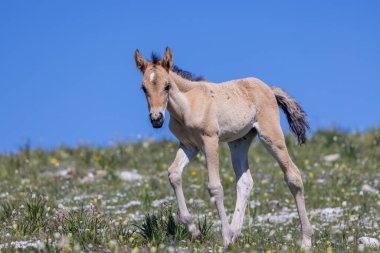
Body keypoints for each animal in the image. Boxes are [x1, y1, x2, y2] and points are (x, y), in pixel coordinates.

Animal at [135, 47, 314, 249]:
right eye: (143, 88)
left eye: (166, 86)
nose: (156, 118)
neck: (187, 105)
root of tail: (269, 88)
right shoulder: (189, 145)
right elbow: (174, 174)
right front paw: (196, 232)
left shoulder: (210, 140)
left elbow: (215, 187)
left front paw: (225, 235)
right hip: (239, 142)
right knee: (245, 182)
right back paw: (235, 235)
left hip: (271, 136)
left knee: (293, 175)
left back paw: (306, 241)